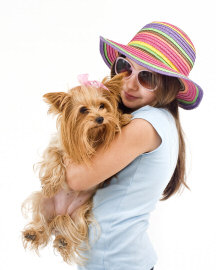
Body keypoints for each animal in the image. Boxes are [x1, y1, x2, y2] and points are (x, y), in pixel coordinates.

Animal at [22, 74, 131, 266]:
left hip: (80, 214)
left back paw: (64, 241)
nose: (100, 119)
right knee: (42, 224)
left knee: (74, 231)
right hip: (42, 203)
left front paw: (120, 119)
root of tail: (59, 215)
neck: (90, 135)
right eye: (83, 110)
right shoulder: (56, 147)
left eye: (102, 106)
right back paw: (34, 233)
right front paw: (51, 183)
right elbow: (54, 158)